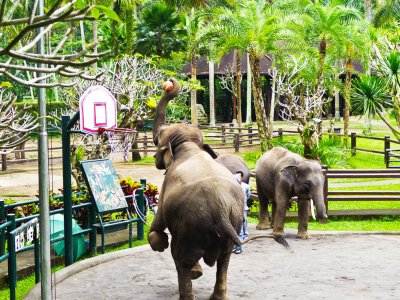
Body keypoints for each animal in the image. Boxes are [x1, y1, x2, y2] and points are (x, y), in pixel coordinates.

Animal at [148, 78, 245, 300]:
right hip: (232, 222)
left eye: (160, 137)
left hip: (189, 225)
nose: (170, 82)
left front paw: (161, 243)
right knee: (224, 260)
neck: (189, 147)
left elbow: (156, 227)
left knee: (180, 259)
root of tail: (219, 206)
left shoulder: (165, 188)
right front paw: (198, 272)